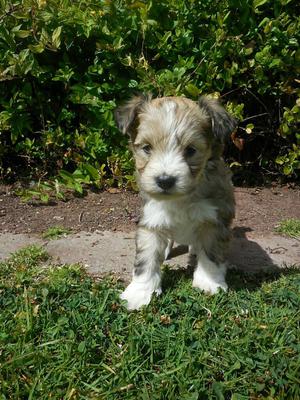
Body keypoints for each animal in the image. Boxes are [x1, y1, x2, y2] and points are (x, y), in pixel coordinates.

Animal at [113, 94, 236, 310]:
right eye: (147, 148)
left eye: (191, 150)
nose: (165, 180)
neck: (182, 198)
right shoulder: (152, 218)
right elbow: (146, 257)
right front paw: (140, 292)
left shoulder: (214, 219)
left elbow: (211, 254)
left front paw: (208, 282)